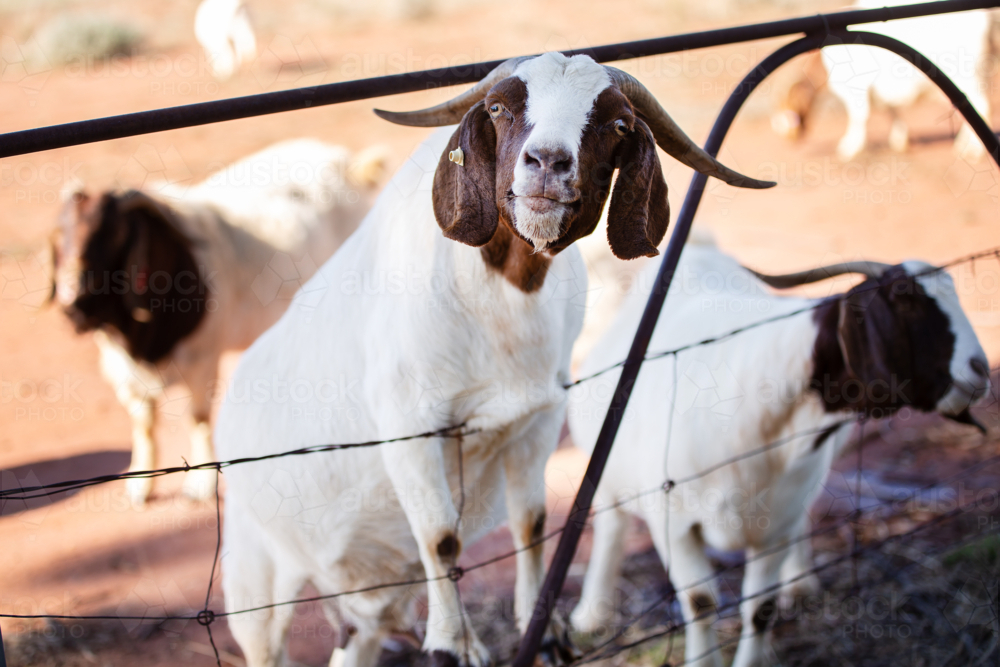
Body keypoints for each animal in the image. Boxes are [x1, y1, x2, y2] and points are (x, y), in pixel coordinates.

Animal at [52, 139, 385, 507]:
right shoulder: (121, 367)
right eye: (60, 234)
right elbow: (144, 423)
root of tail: (351, 165)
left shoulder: (202, 359)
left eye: (114, 234)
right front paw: (140, 483)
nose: (72, 302)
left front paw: (200, 482)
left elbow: (197, 418)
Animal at [214, 52, 774, 667]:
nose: (548, 163)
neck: (500, 299)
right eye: (501, 108)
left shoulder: (537, 416)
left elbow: (531, 523)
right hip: (253, 578)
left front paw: (544, 629)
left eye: (619, 123)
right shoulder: (409, 427)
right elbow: (440, 537)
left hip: (367, 601)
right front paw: (451, 644)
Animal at [568, 235, 989, 667]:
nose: (980, 369)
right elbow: (701, 603)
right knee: (611, 524)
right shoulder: (673, 524)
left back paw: (799, 583)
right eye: (904, 300)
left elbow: (760, 608)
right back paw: (592, 613)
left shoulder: (777, 525)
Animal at [772, 0, 993, 162]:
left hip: (969, 77)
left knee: (981, 106)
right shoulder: (881, 91)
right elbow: (892, 111)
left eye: (785, 111)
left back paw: (971, 149)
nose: (786, 138)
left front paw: (850, 147)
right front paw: (900, 140)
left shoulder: (854, 90)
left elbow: (859, 117)